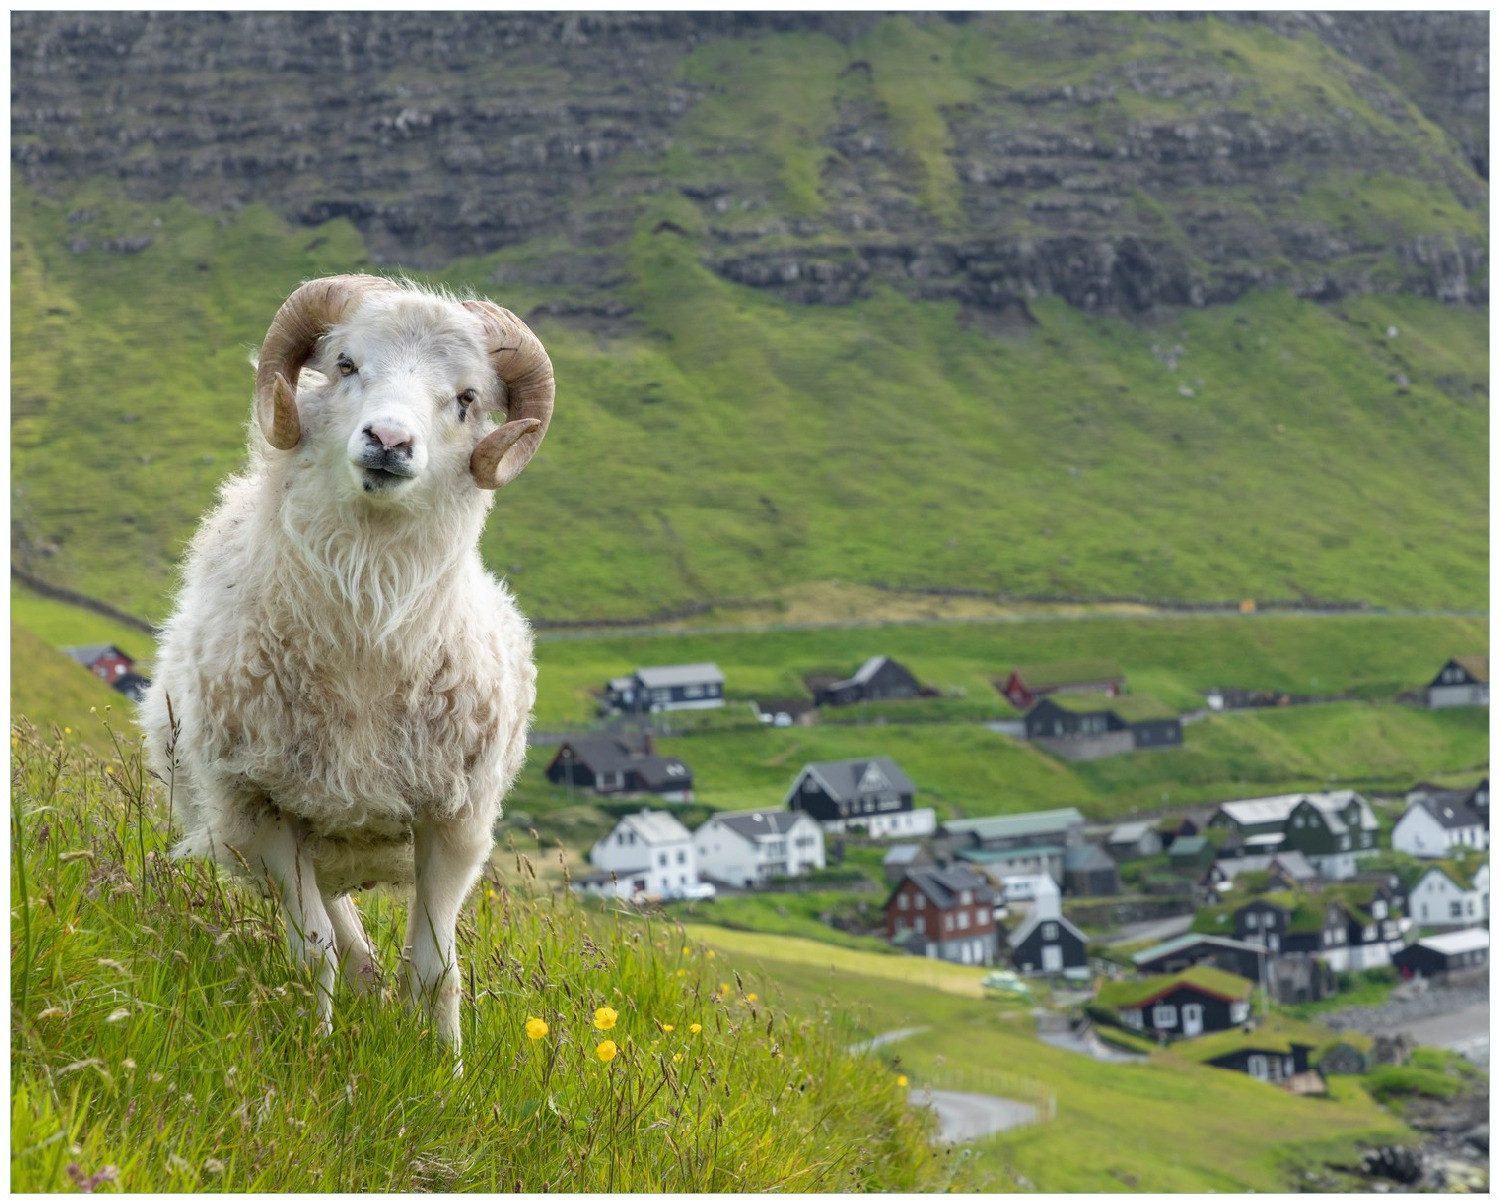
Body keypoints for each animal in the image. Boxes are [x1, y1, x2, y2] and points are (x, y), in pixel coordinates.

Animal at [140, 274, 553, 1058]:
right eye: (346, 364)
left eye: (466, 399)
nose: (389, 441)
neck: (366, 637)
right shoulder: (263, 810)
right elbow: (313, 954)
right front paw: (314, 1052)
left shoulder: (455, 823)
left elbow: (436, 968)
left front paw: (444, 1069)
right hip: (269, 840)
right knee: (344, 944)